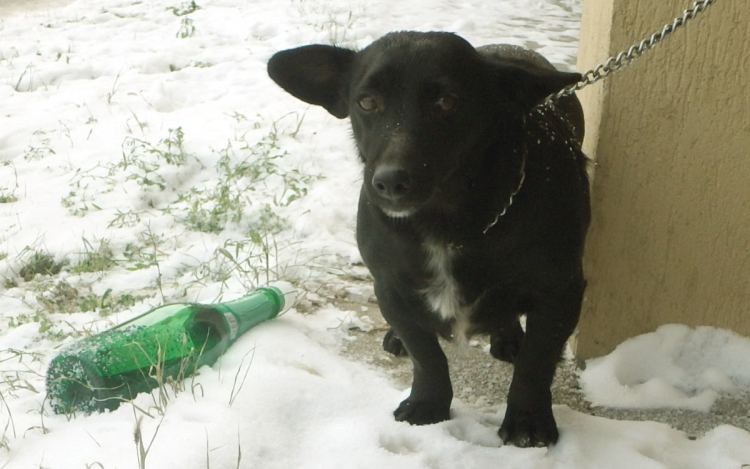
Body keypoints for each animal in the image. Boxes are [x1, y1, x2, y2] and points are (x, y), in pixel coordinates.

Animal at [270, 31, 592, 448]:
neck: (446, 225)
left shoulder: (562, 292)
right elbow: (427, 356)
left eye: (446, 101)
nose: (390, 181)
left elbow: (536, 363)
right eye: (367, 101)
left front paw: (527, 419)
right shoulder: (390, 287)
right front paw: (428, 403)